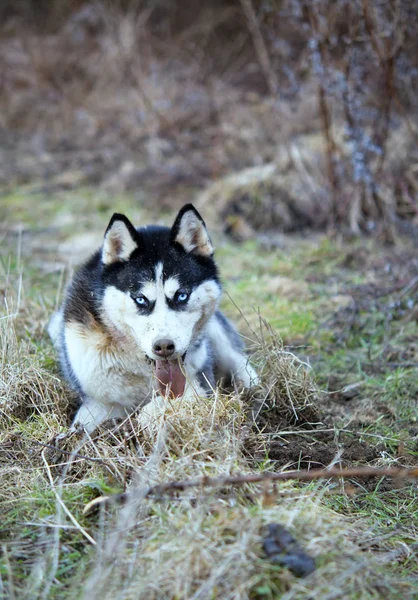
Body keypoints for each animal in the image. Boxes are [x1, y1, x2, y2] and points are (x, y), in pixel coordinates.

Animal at [49, 205, 258, 432]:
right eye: (140, 299)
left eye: (181, 295)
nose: (164, 346)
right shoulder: (97, 400)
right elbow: (84, 423)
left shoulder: (201, 385)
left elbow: (154, 409)